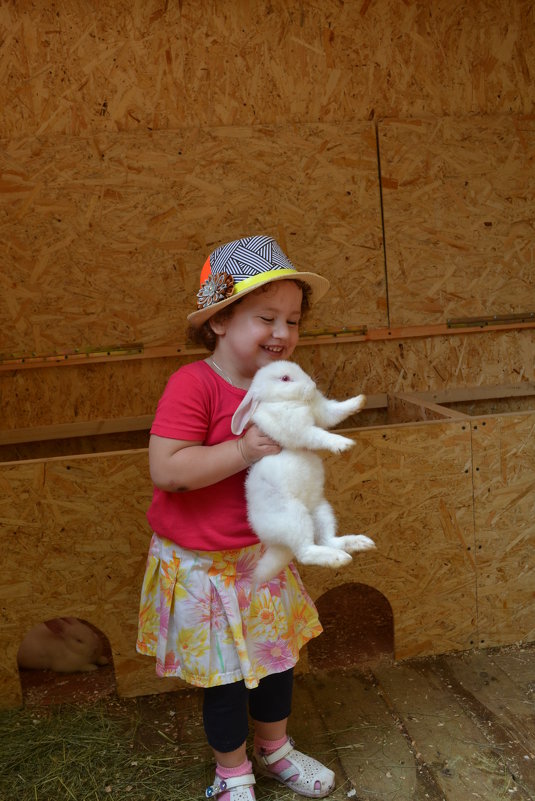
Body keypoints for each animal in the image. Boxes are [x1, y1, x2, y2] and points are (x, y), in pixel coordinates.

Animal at [231, 360, 376, 580]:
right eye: (284, 378)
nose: (313, 386)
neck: (286, 401)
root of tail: (276, 543)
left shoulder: (323, 412)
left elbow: (335, 411)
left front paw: (360, 400)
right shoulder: (300, 430)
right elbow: (319, 434)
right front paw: (343, 444)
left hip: (322, 511)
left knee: (327, 540)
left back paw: (358, 543)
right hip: (295, 517)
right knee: (305, 552)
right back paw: (338, 558)